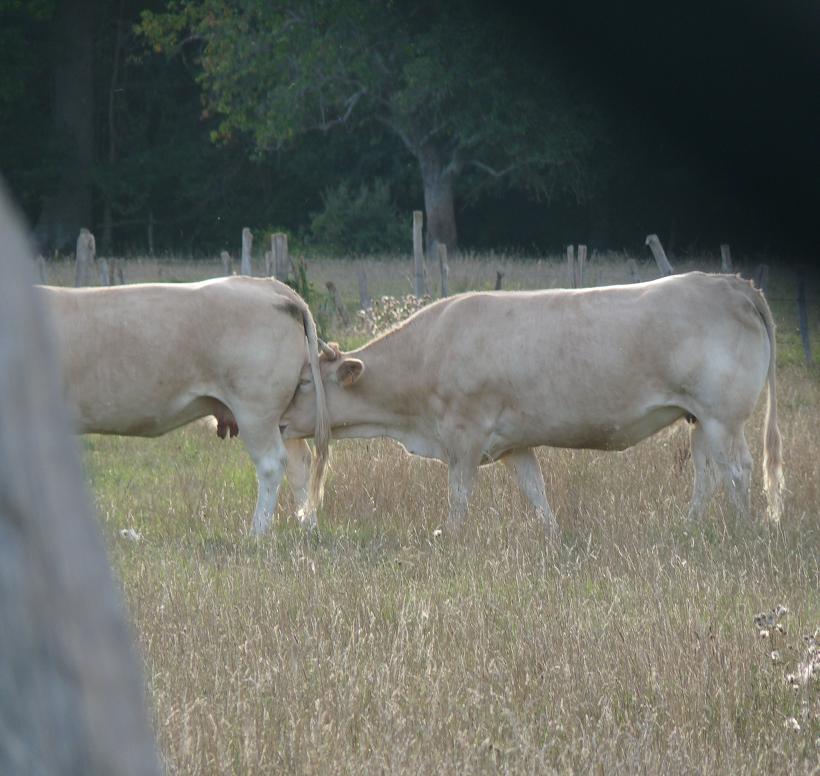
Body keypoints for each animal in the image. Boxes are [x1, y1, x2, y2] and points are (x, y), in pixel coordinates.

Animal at [40, 276, 330, 536]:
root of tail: (268, 285)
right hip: (283, 416)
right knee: (300, 463)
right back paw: (308, 526)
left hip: (255, 410)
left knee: (272, 464)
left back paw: (257, 533)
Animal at [280, 272, 780, 532]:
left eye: (305, 382)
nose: (280, 423)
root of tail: (730, 283)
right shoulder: (514, 444)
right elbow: (535, 491)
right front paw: (554, 537)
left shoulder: (465, 436)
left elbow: (459, 496)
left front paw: (450, 536)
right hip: (699, 419)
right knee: (707, 475)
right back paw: (687, 527)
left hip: (723, 417)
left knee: (738, 471)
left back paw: (743, 530)